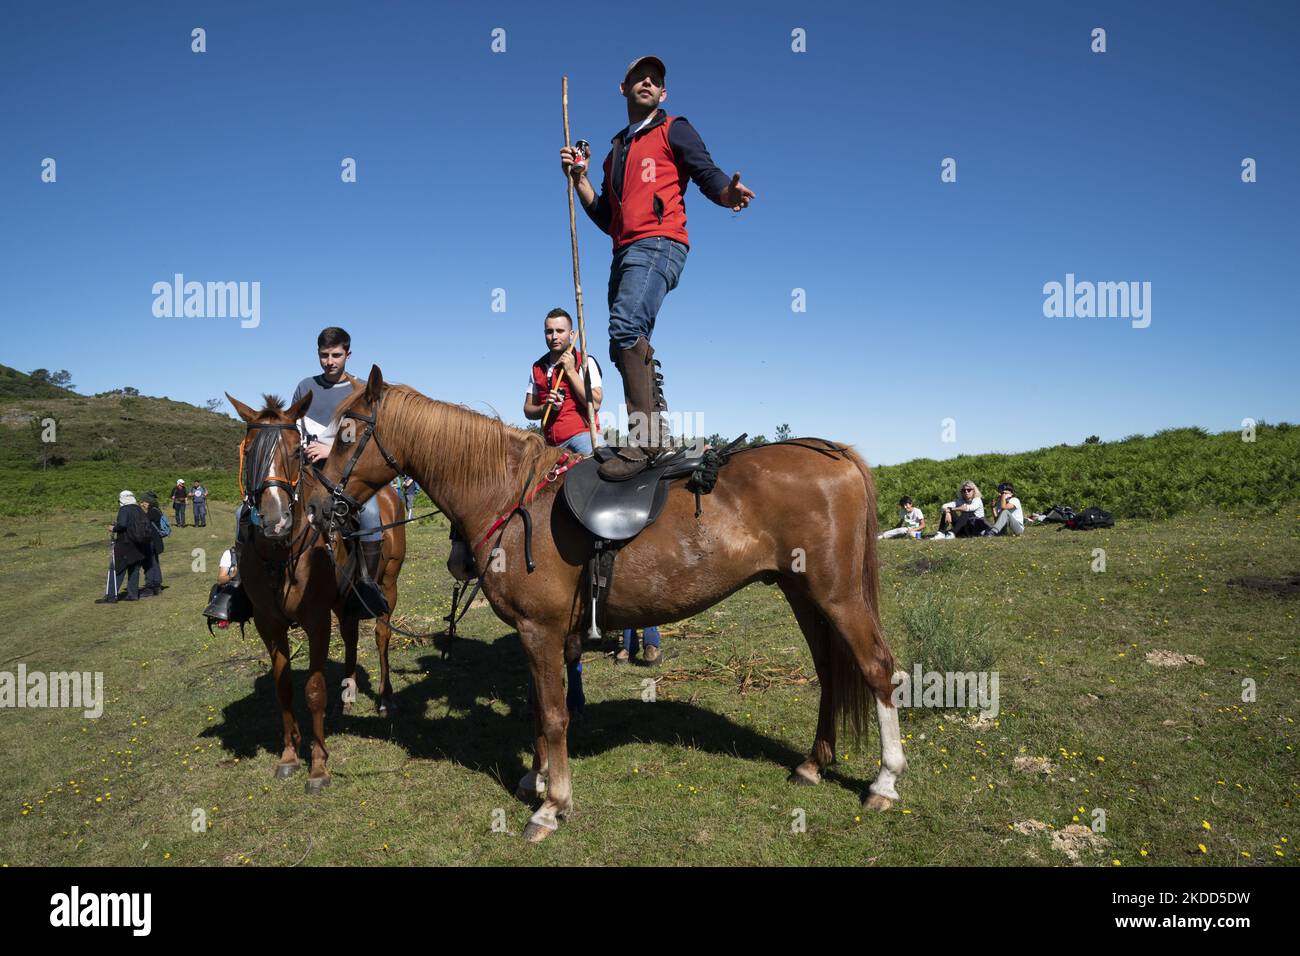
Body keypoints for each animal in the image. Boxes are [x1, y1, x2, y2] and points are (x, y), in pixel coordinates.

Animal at [226, 391, 408, 792]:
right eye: (250, 450)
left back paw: (385, 698)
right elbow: (283, 688)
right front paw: (289, 756)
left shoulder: (316, 620)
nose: (276, 520)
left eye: (296, 451)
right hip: (344, 600)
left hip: (388, 584)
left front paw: (319, 766)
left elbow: (313, 690)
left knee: (381, 636)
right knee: (352, 635)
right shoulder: (268, 623)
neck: (281, 554)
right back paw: (348, 692)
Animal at [314, 367, 905, 840]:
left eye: (346, 435)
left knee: (878, 669)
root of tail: (836, 454)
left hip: (838, 594)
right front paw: (537, 776)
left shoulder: (541, 629)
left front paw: (552, 805)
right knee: (830, 672)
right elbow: (538, 707)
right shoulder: (537, 635)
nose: (319, 505)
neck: (510, 495)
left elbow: (554, 714)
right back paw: (813, 764)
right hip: (801, 593)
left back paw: (885, 780)